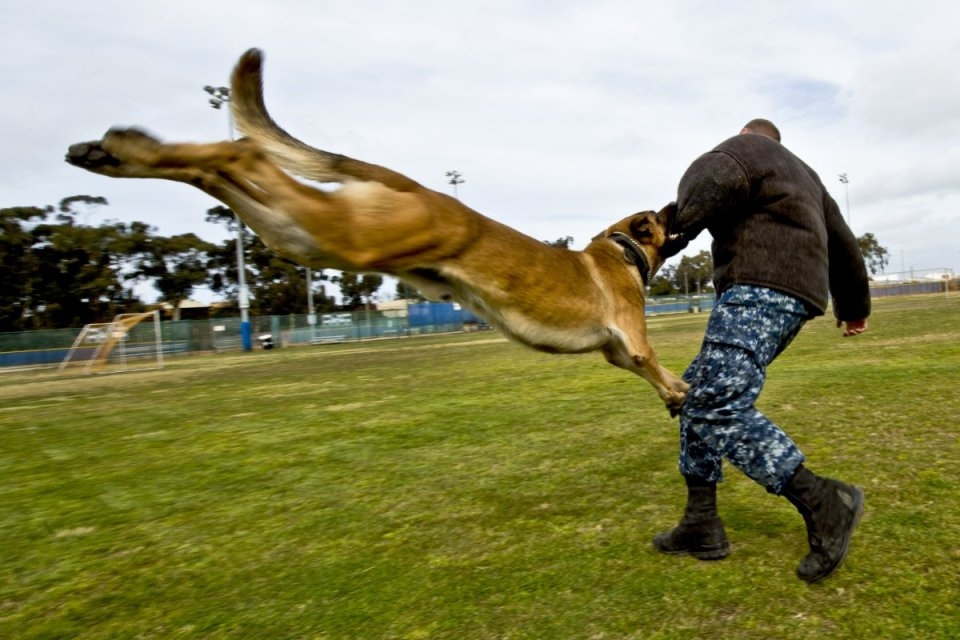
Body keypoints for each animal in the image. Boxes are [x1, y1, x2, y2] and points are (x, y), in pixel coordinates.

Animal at [63, 48, 688, 410]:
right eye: (659, 220)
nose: (676, 204)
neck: (619, 249)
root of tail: (413, 186)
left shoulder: (614, 354)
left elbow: (652, 372)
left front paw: (676, 392)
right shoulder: (631, 342)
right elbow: (655, 362)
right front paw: (679, 391)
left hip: (304, 235)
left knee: (219, 173)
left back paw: (113, 151)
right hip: (346, 235)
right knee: (243, 153)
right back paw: (126, 147)